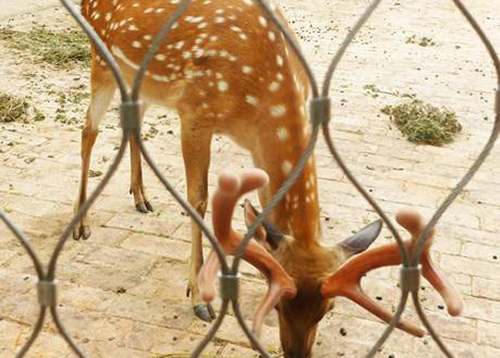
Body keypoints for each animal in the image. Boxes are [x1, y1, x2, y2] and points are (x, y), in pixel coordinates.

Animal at [77, 1, 464, 356]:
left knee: (133, 120)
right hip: (101, 61)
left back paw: (140, 197)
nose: (295, 352)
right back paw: (81, 224)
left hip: (138, 79)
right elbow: (198, 200)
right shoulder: (195, 114)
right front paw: (198, 297)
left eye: (328, 309)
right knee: (88, 131)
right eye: (278, 305)